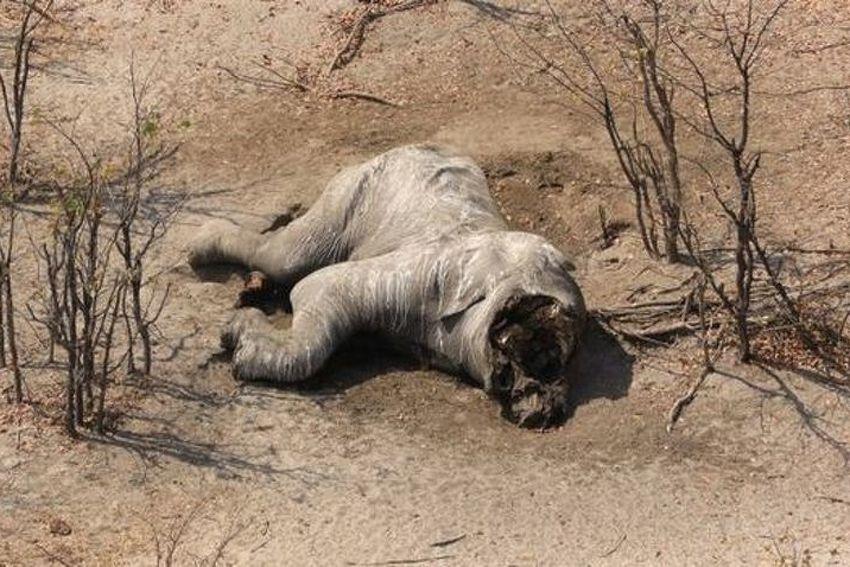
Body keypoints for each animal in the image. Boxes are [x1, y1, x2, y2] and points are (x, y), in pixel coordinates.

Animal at [186, 144, 588, 428]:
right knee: (285, 256)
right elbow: (316, 290)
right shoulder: (422, 277)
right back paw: (199, 247)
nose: (542, 408)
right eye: (530, 308)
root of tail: (424, 146)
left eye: (554, 359)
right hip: (359, 188)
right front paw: (235, 337)